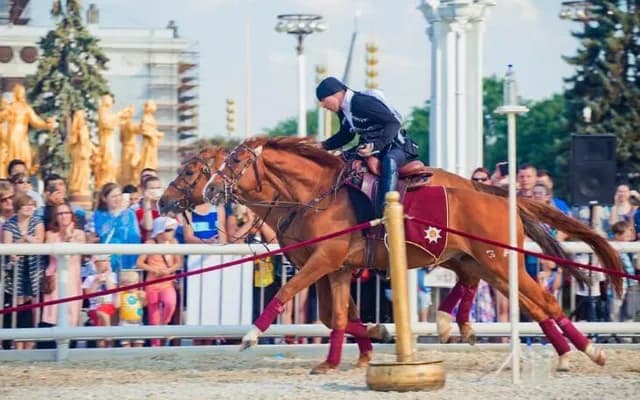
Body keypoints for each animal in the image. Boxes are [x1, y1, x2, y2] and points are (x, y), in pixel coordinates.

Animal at [159, 138, 623, 374]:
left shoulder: (323, 262)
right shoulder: (335, 268)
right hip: (478, 262)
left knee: (543, 302)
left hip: (497, 261)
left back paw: (585, 352)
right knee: (512, 298)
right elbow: (335, 317)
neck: (312, 196)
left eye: (192, 170)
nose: (163, 202)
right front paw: (350, 352)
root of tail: (495, 194)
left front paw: (254, 334)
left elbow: (291, 293)